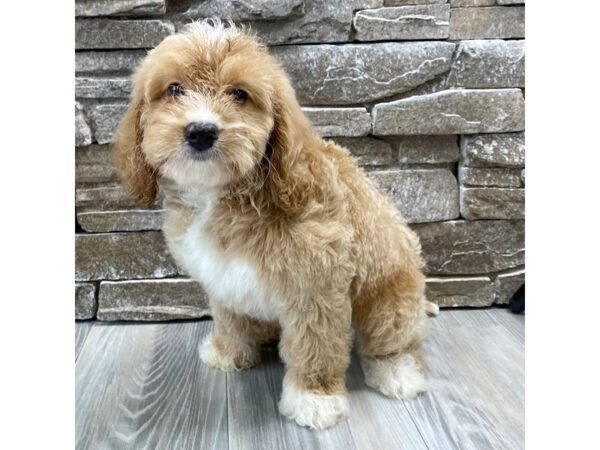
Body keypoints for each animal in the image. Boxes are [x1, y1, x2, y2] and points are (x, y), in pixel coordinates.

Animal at [113, 19, 426, 430]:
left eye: (239, 94)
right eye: (174, 89)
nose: (201, 131)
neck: (228, 196)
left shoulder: (315, 288)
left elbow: (315, 346)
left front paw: (314, 397)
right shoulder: (223, 279)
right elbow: (230, 319)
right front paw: (228, 352)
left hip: (390, 302)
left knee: (396, 342)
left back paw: (398, 372)